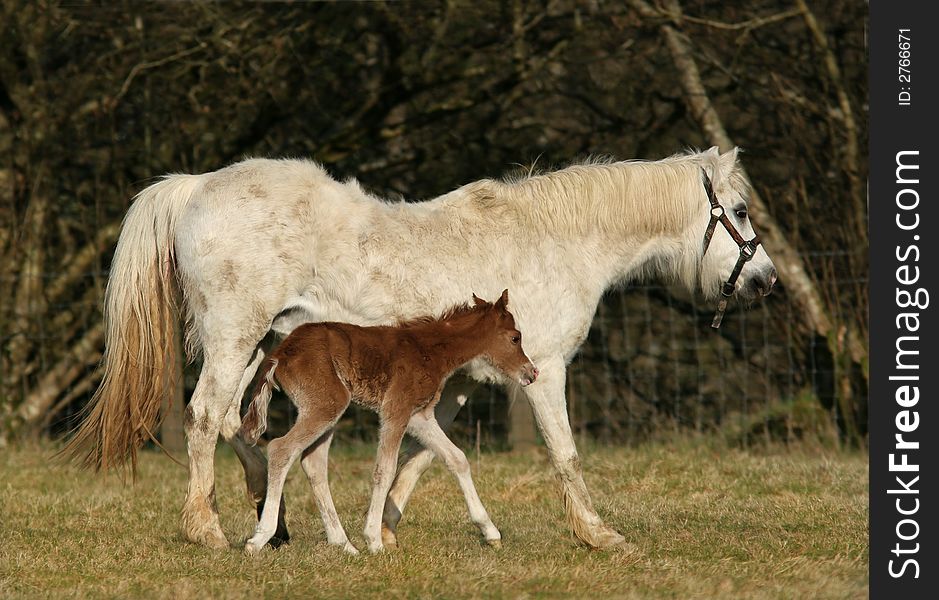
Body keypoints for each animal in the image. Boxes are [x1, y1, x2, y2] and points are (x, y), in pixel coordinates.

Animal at [239, 290, 540, 552]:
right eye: (516, 338)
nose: (532, 372)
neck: (431, 349)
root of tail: (280, 354)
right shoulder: (395, 409)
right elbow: (384, 470)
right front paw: (374, 540)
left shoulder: (419, 415)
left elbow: (457, 458)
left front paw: (491, 533)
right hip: (327, 404)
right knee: (281, 449)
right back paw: (260, 539)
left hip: (325, 409)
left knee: (313, 462)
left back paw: (345, 545)